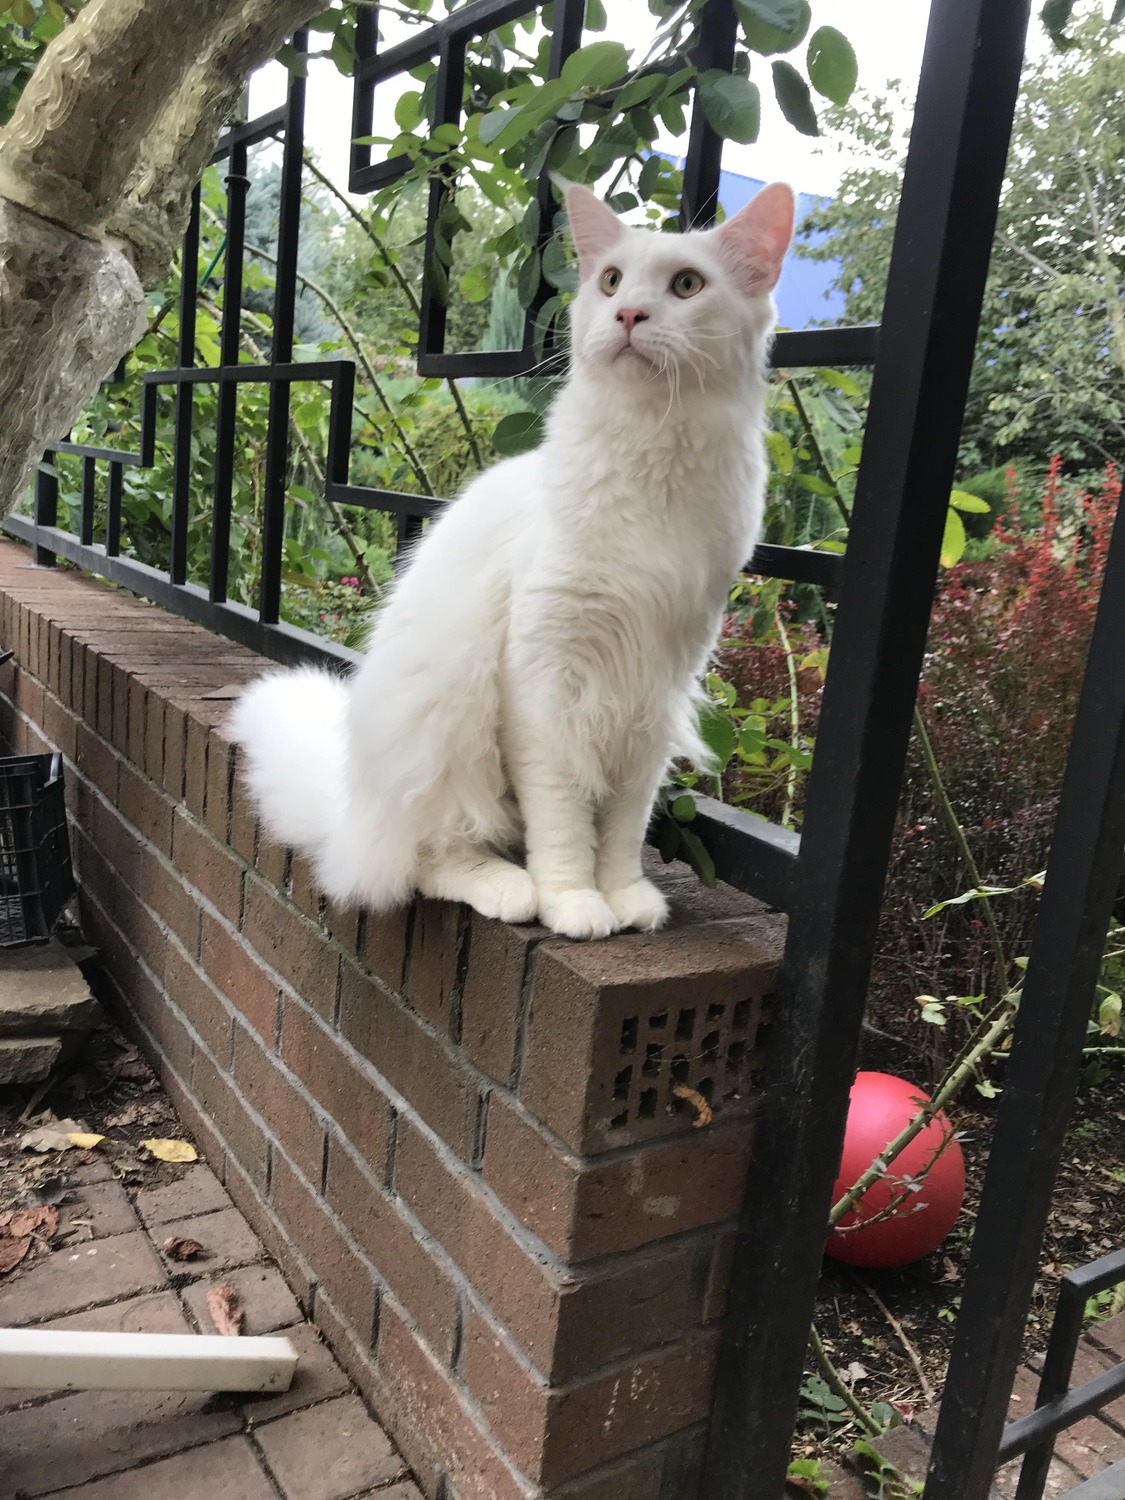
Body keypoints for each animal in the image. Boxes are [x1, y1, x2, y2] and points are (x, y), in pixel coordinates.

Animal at [229, 179, 794, 940]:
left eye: (686, 285)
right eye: (611, 280)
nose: (628, 313)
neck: (653, 462)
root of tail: (350, 817)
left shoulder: (653, 687)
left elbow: (625, 822)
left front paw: (624, 896)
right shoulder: (545, 680)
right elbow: (563, 818)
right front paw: (574, 901)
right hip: (448, 717)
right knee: (422, 863)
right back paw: (510, 886)